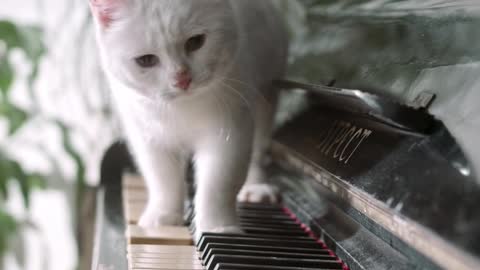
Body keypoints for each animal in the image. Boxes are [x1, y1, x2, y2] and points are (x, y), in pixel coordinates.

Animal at [88, 0, 286, 233]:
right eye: (146, 60)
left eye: (196, 42)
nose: (182, 79)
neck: (182, 108)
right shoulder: (147, 137)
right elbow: (163, 180)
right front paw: (164, 215)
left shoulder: (230, 132)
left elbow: (218, 185)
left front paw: (218, 228)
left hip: (266, 96)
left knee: (257, 151)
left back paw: (256, 187)